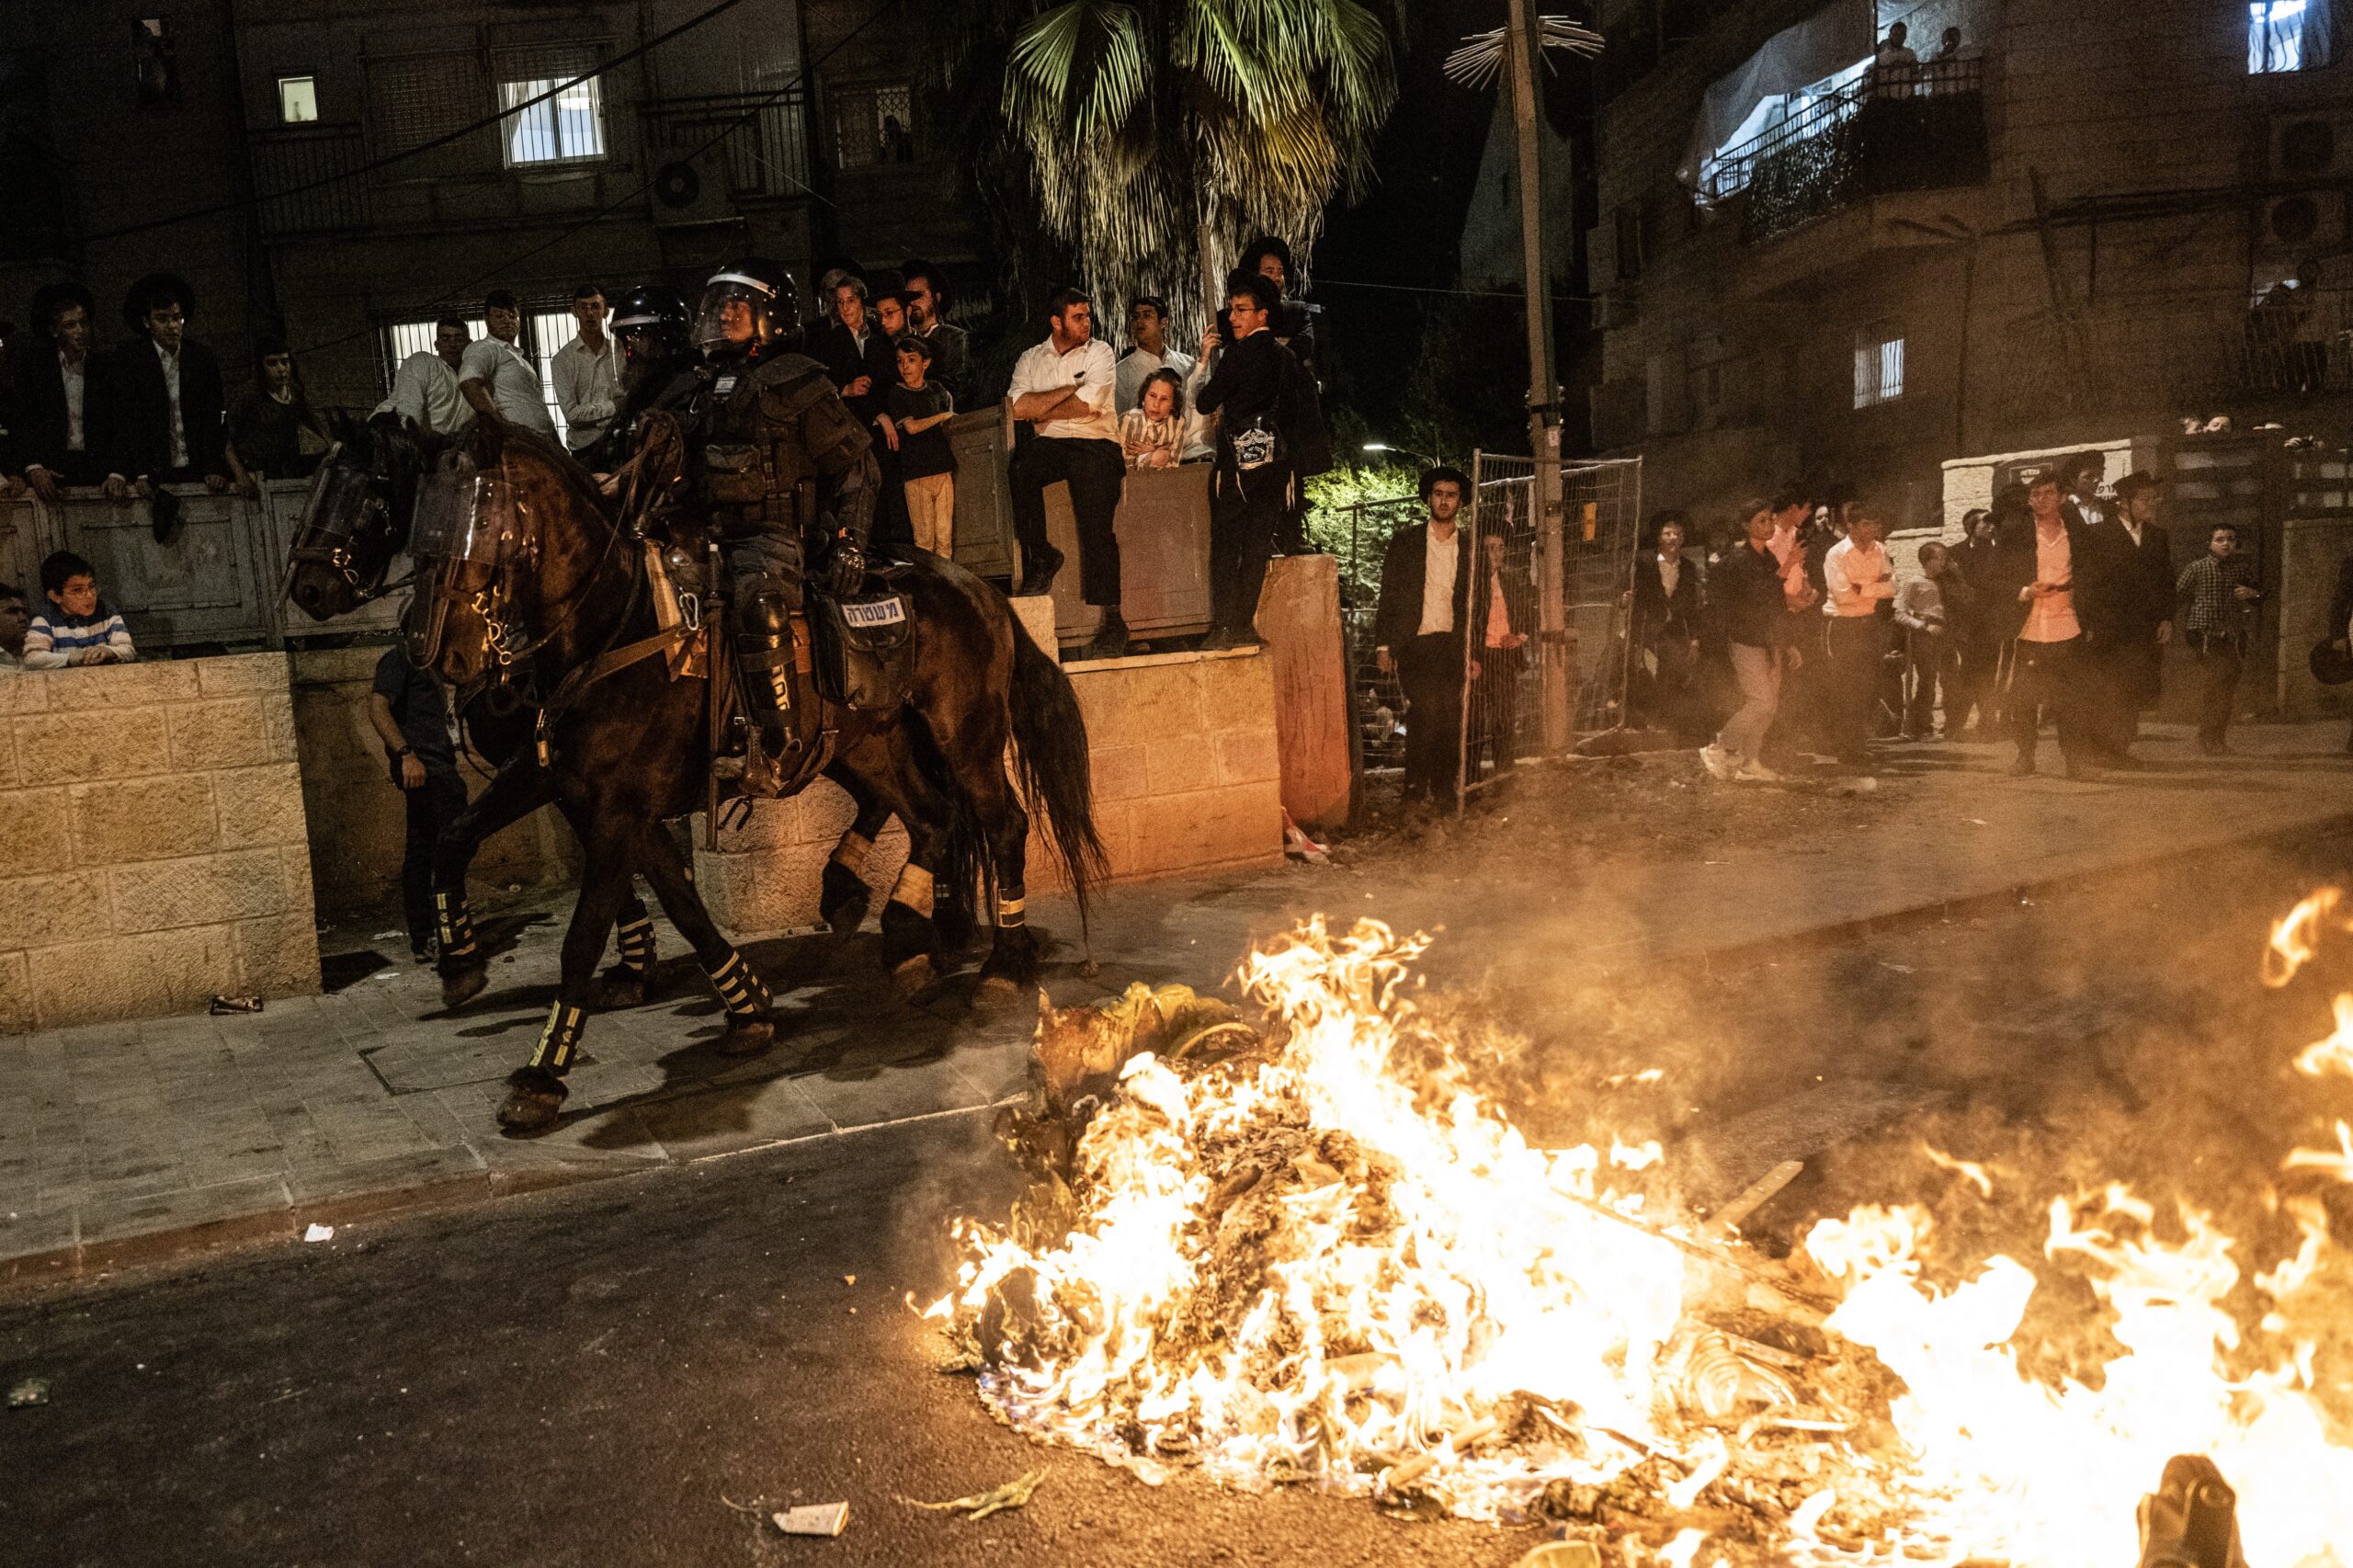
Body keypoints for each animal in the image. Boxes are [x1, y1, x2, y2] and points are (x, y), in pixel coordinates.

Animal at [400, 418, 1106, 1125]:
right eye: (422, 526)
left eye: (479, 520)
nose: (436, 648)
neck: (617, 631)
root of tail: (982, 589)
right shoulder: (574, 788)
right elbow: (469, 839)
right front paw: (745, 1006)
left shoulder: (619, 809)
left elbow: (585, 934)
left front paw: (542, 1073)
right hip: (871, 744)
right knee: (934, 820)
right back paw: (905, 935)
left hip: (965, 737)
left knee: (1000, 823)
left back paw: (1000, 965)